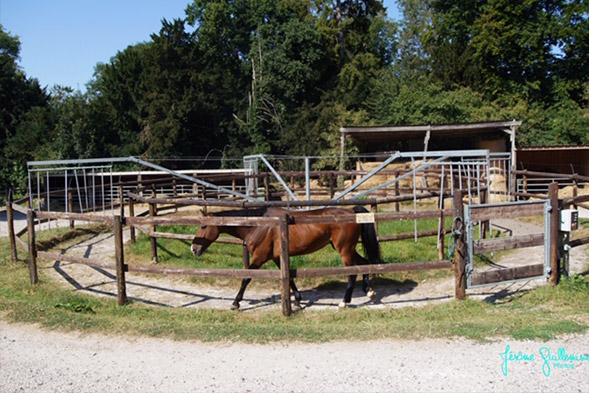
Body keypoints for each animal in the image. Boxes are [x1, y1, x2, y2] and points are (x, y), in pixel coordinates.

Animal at [191, 205, 378, 310]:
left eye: (204, 226)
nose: (194, 248)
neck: (257, 225)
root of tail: (351, 211)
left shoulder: (259, 258)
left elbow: (246, 278)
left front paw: (236, 303)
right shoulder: (276, 257)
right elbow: (290, 280)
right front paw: (297, 301)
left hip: (344, 250)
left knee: (352, 273)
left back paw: (344, 302)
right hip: (348, 248)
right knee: (365, 264)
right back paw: (369, 291)